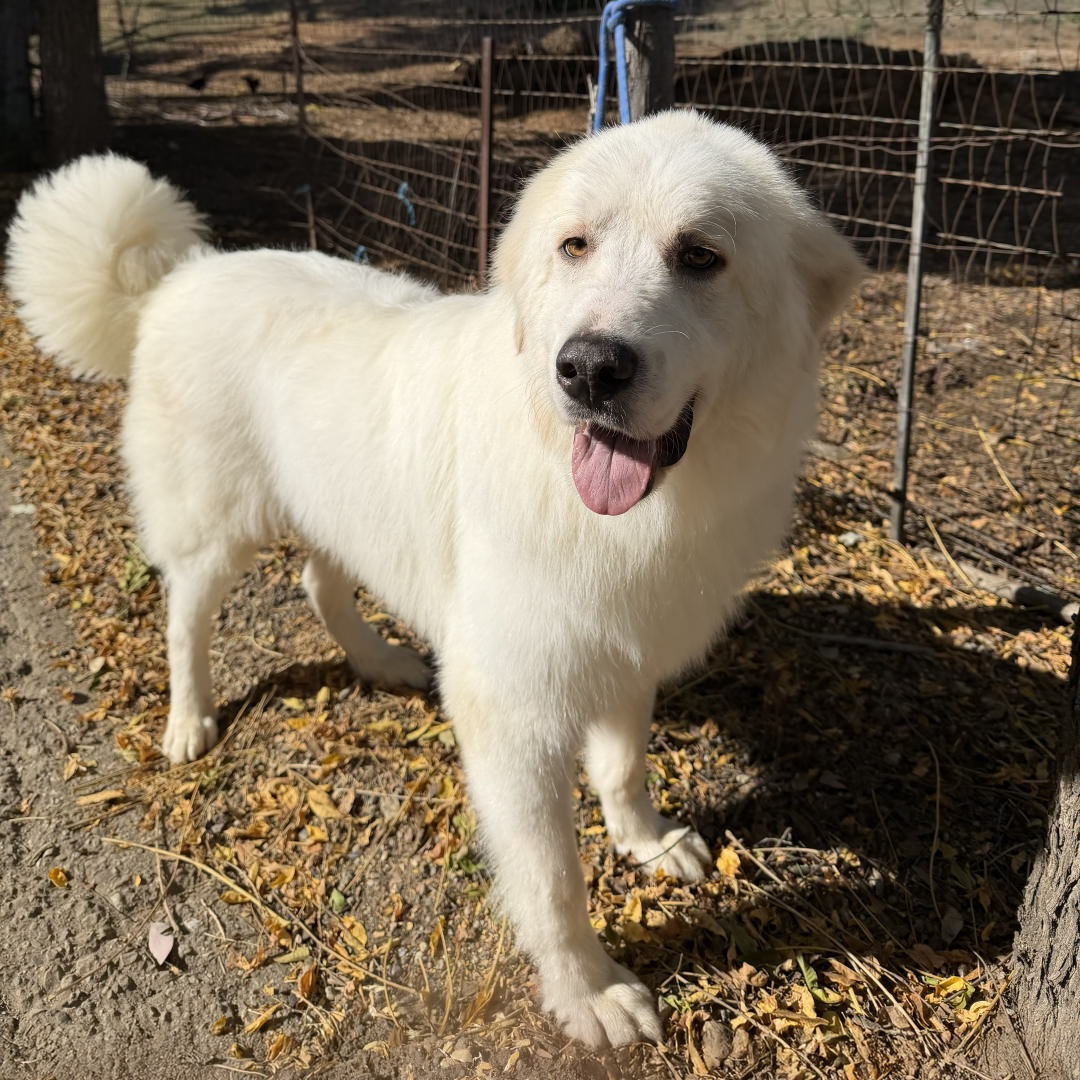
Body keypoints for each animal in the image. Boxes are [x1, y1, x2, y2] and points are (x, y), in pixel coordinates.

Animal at [7, 110, 862, 1048]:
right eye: (575, 246)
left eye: (701, 256)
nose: (589, 369)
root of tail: (183, 275)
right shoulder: (515, 714)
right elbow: (553, 881)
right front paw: (588, 992)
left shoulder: (623, 650)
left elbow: (622, 766)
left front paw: (645, 841)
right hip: (218, 530)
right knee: (185, 617)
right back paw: (189, 721)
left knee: (318, 584)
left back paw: (379, 662)